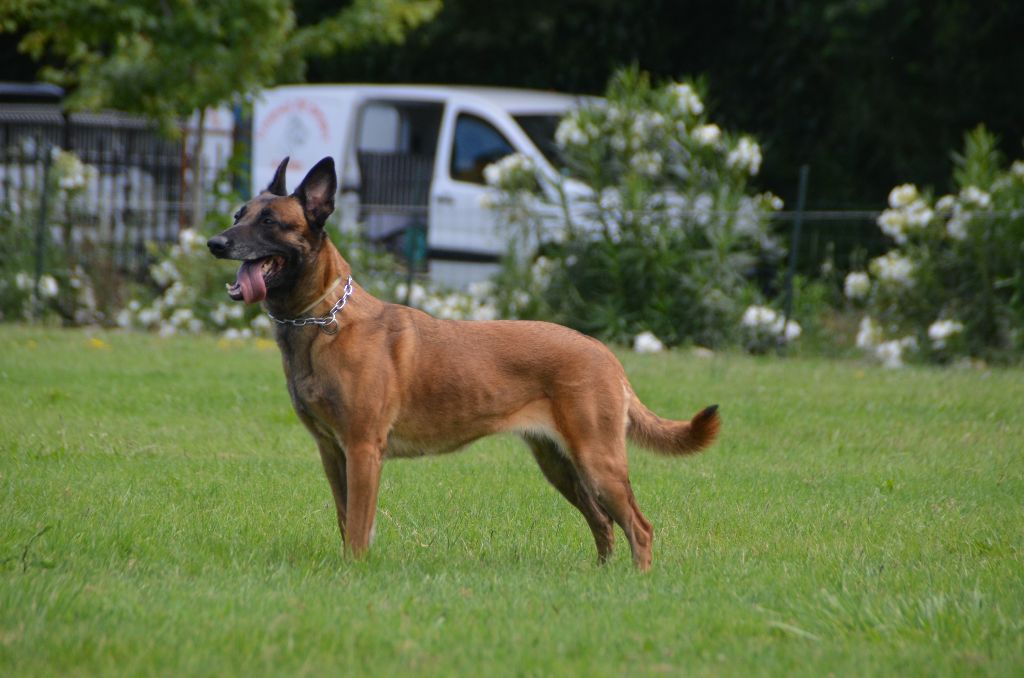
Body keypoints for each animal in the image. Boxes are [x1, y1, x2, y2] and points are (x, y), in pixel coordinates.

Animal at [207, 156, 720, 569]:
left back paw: (638, 581)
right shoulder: (332, 452)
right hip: (561, 466)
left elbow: (357, 529)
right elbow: (343, 518)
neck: (322, 319)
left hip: (598, 462)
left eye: (271, 221)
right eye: (238, 216)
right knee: (604, 524)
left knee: (639, 526)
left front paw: (354, 574)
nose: (214, 243)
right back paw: (602, 577)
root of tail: (608, 355)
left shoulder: (363, 449)